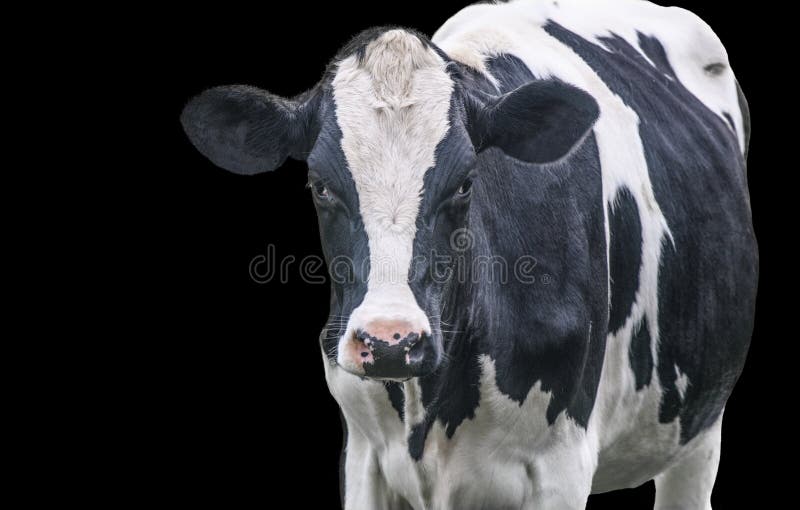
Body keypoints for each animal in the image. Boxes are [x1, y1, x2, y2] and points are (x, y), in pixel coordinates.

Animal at [180, 0, 756, 508]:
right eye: (320, 186)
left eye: (464, 183)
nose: (391, 342)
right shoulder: (363, 456)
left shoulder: (562, 465)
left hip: (700, 430)